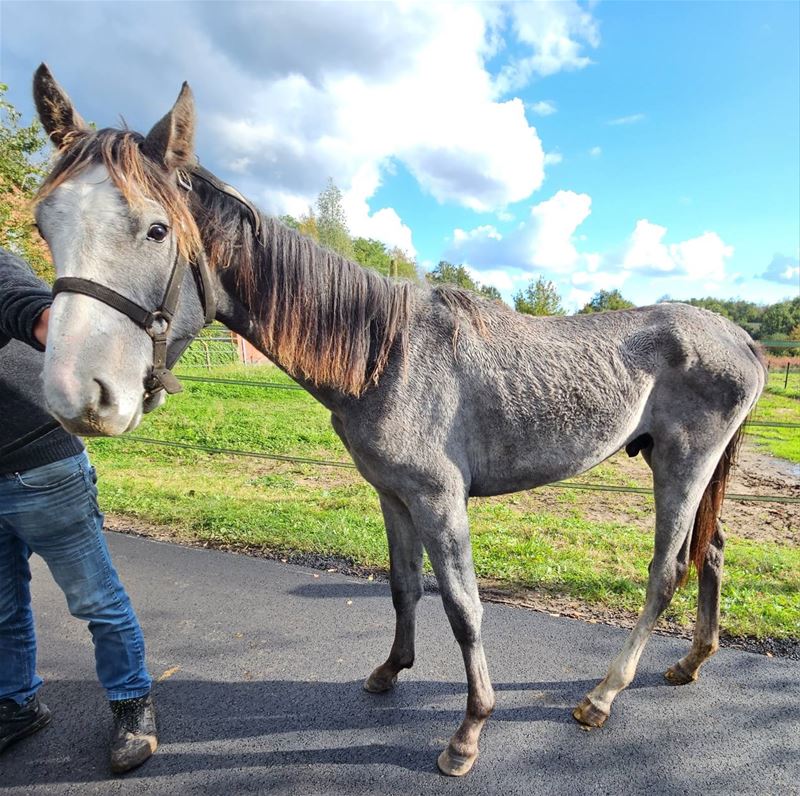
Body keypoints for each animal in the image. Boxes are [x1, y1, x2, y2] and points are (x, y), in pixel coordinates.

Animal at [32, 63, 768, 776]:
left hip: (682, 463)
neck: (384, 356)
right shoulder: (393, 494)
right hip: (687, 467)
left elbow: (463, 608)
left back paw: (602, 695)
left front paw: (468, 733)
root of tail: (741, 337)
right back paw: (690, 662)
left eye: (156, 229)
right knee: (712, 552)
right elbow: (402, 586)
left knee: (667, 571)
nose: (78, 393)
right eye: (45, 224)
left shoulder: (440, 499)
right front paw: (391, 670)